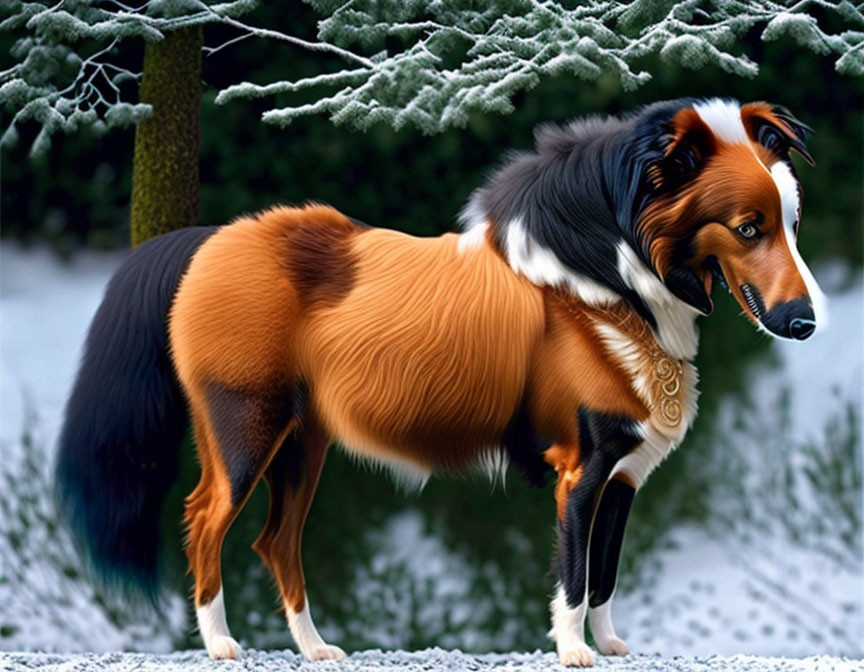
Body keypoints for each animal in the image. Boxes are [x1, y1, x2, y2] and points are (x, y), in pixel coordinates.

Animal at [55, 98, 824, 668]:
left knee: (276, 541)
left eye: (792, 223)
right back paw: (219, 643)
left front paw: (608, 646)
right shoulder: (582, 471)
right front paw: (574, 650)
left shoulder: (624, 477)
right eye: (746, 227)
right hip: (245, 432)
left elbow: (606, 571)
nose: (806, 322)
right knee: (205, 520)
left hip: (302, 446)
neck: (604, 283)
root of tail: (213, 238)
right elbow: (575, 575)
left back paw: (315, 648)